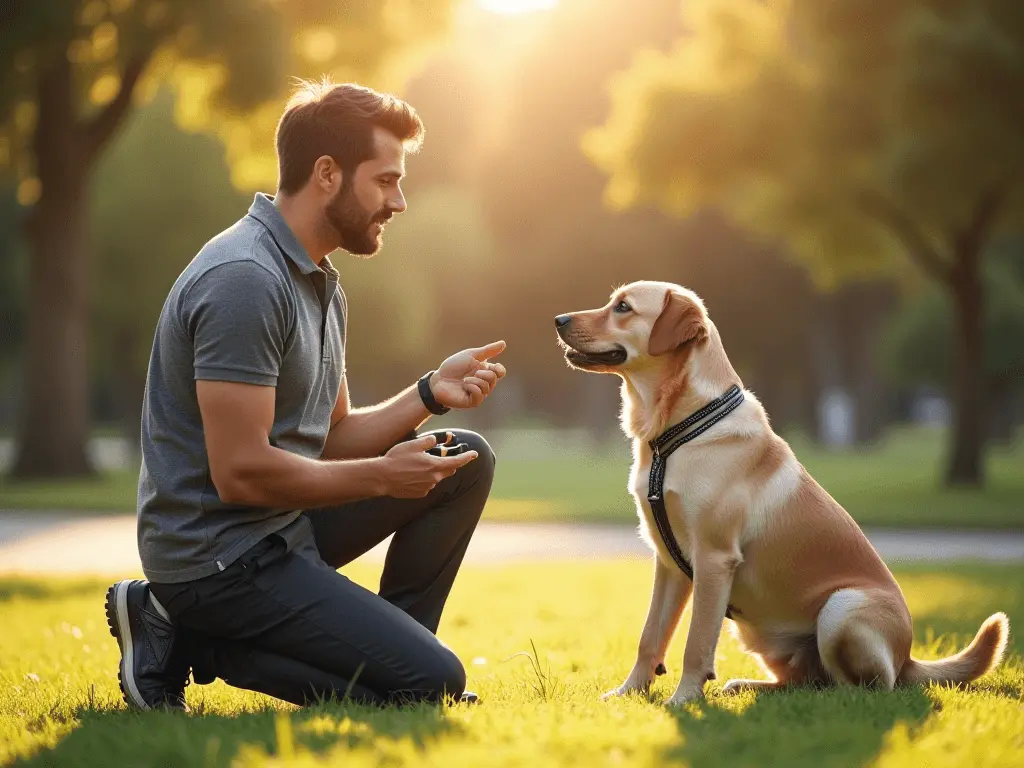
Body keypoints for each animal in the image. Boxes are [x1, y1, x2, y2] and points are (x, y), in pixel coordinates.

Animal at [552, 280, 1007, 708]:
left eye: (623, 308)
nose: (558, 319)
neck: (675, 432)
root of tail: (909, 657)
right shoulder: (667, 562)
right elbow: (650, 636)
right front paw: (629, 692)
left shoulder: (713, 559)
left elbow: (696, 642)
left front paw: (683, 699)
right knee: (805, 681)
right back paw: (746, 686)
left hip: (840, 608)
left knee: (862, 687)